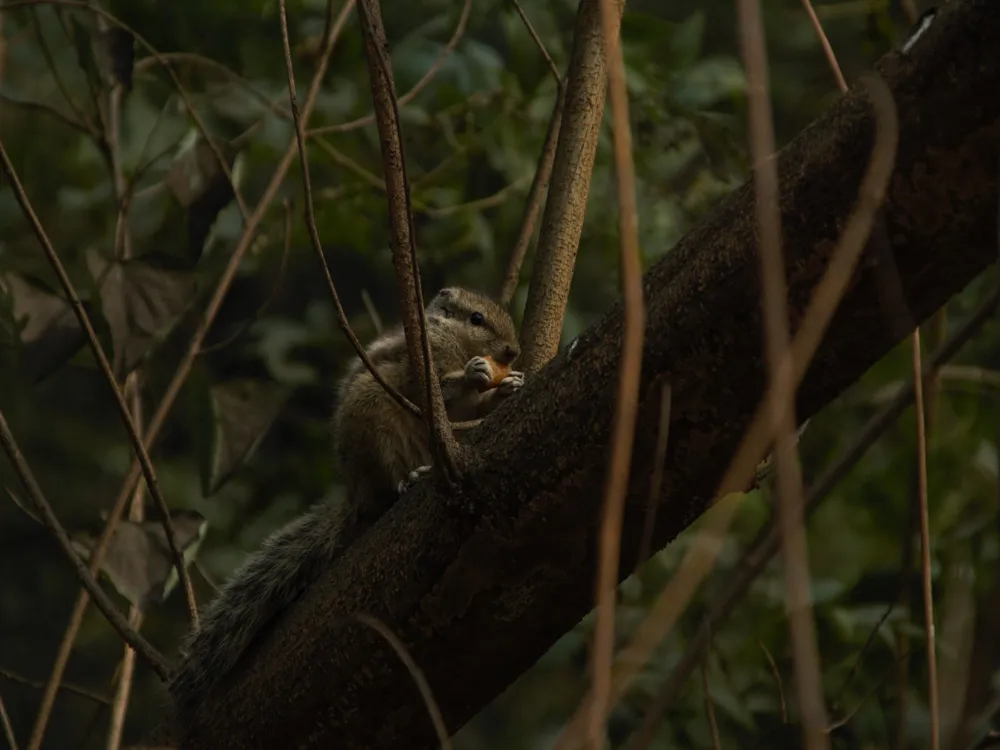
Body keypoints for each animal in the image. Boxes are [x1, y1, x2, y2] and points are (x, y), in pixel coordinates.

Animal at [166, 288, 524, 724]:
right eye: (476, 319)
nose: (513, 351)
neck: (449, 340)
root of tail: (356, 499)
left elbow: (475, 410)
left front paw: (508, 386)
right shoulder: (421, 365)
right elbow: (435, 390)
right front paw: (474, 374)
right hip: (375, 423)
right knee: (389, 482)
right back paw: (410, 479)